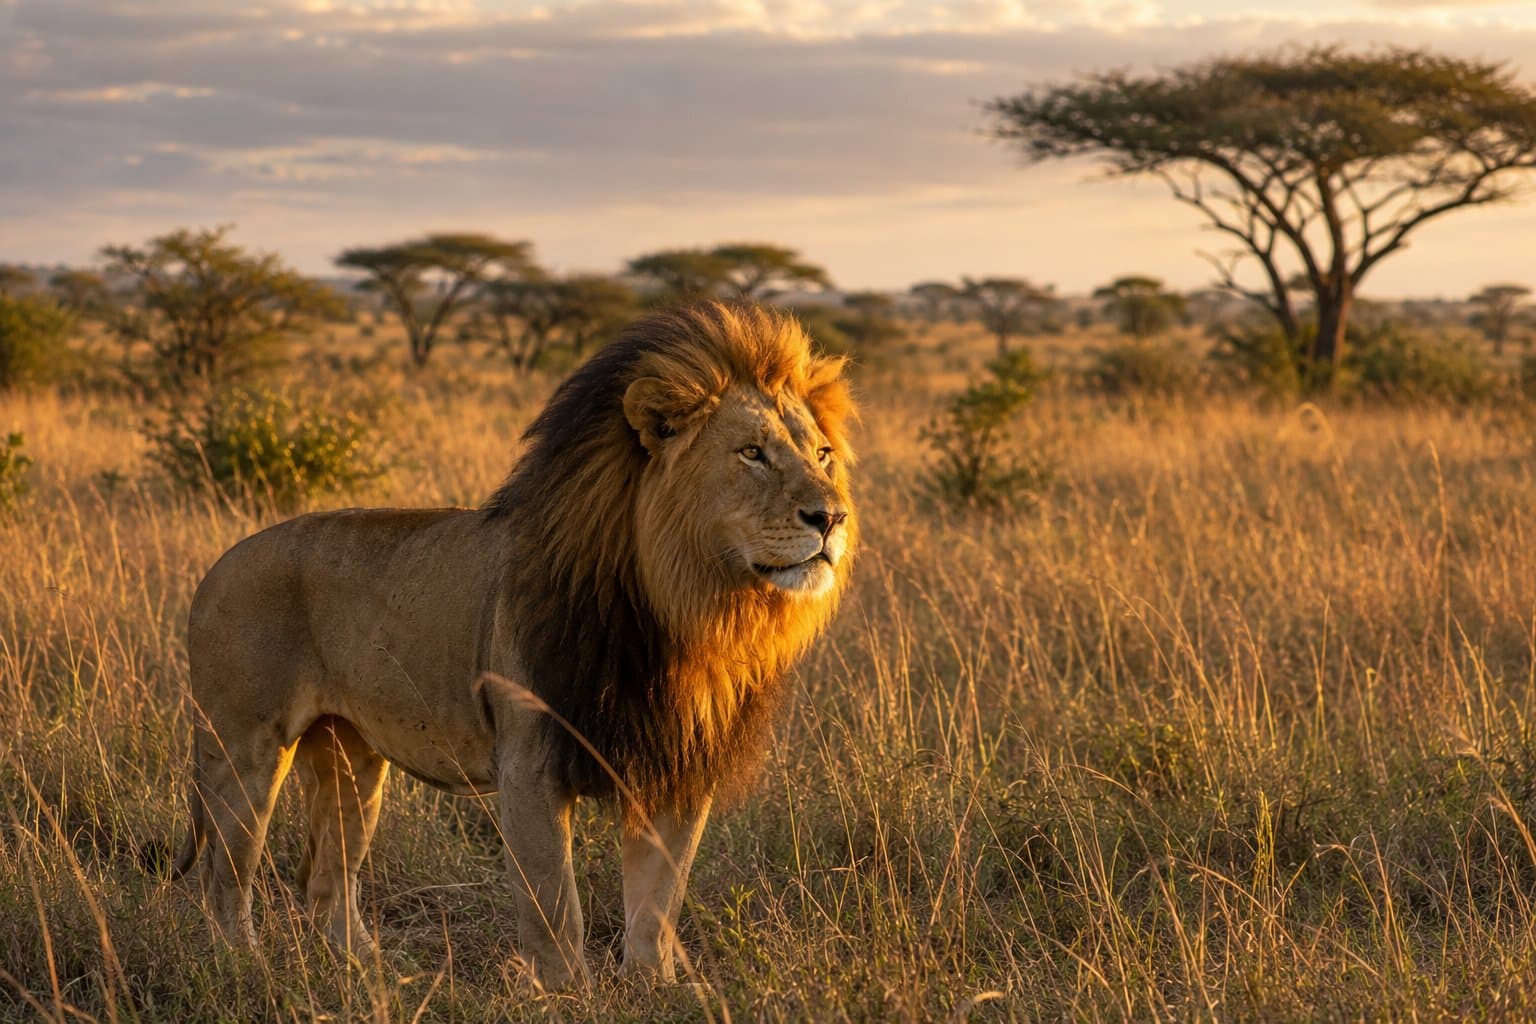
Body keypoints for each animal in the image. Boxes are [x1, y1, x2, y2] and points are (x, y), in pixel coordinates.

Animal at [170, 301, 856, 987]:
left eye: (823, 454)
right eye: (752, 453)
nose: (832, 518)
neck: (684, 613)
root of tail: (213, 571)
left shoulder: (674, 763)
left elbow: (659, 899)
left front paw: (654, 987)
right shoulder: (530, 761)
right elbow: (555, 907)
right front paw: (570, 995)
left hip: (350, 756)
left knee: (325, 880)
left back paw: (378, 974)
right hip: (245, 751)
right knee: (224, 878)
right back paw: (245, 969)